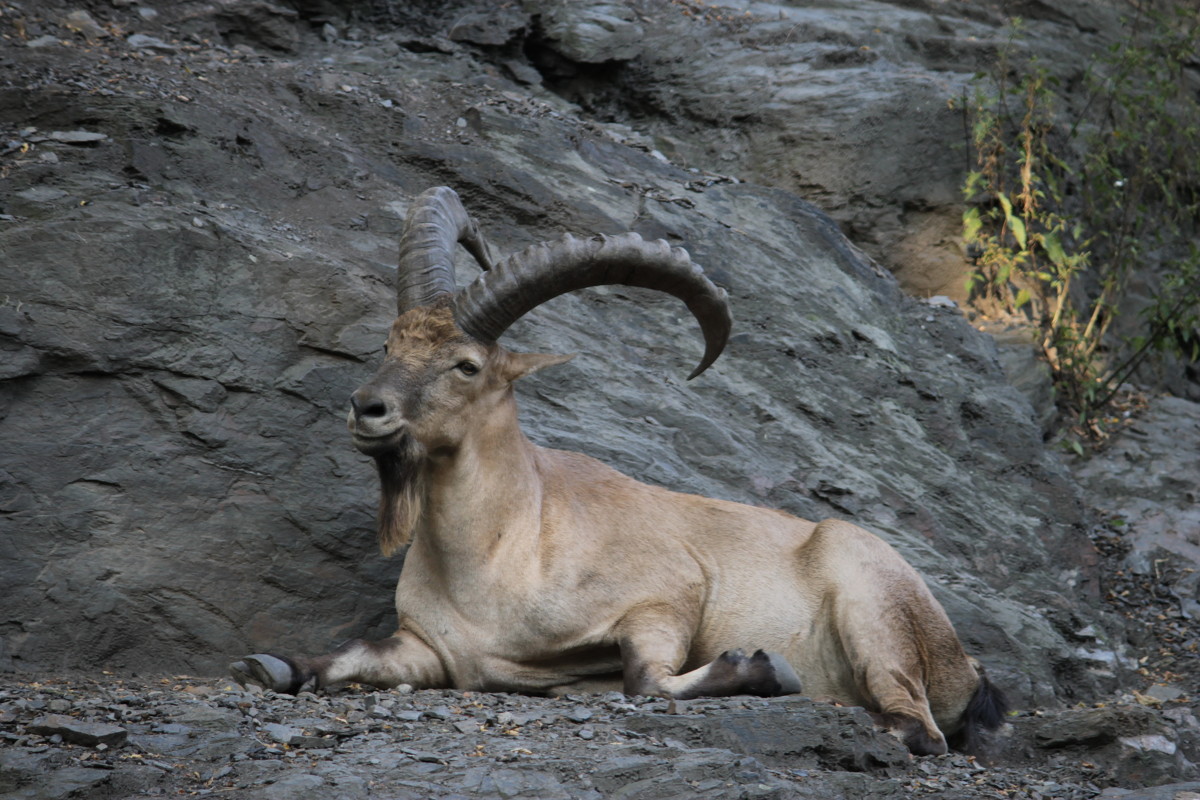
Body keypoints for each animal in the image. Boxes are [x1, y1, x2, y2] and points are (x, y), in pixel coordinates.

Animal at [231, 184, 1003, 753]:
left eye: (467, 364)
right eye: (391, 342)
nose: (368, 409)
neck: (498, 552)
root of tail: (965, 664)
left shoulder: (668, 594)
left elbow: (647, 681)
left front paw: (760, 666)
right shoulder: (431, 650)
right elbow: (353, 653)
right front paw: (274, 664)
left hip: (868, 601)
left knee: (918, 727)